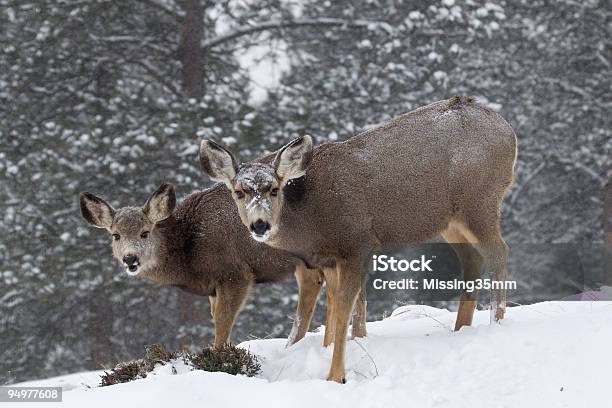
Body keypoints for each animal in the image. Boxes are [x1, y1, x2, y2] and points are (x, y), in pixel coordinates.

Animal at [80, 183, 366, 350]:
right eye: (115, 235)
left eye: (144, 232)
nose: (130, 259)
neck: (191, 249)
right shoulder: (212, 288)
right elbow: (214, 316)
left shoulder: (235, 274)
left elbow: (223, 320)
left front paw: (217, 358)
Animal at [201, 97, 516, 384]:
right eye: (239, 192)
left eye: (275, 189)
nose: (260, 224)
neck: (311, 219)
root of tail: (508, 131)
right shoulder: (329, 260)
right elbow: (332, 307)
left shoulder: (356, 244)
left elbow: (344, 308)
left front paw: (335, 376)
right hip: (451, 220)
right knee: (473, 257)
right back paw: (461, 328)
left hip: (480, 201)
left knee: (498, 251)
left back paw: (496, 322)